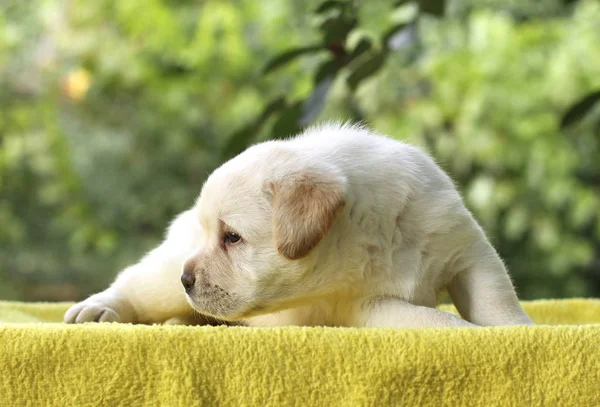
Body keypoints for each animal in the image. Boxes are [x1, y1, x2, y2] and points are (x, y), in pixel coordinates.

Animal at [64, 123, 536, 328]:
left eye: (232, 237)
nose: (188, 278)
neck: (379, 232)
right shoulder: (370, 306)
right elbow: (440, 322)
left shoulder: (469, 254)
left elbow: (497, 302)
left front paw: (518, 332)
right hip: (163, 275)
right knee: (134, 284)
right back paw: (98, 308)